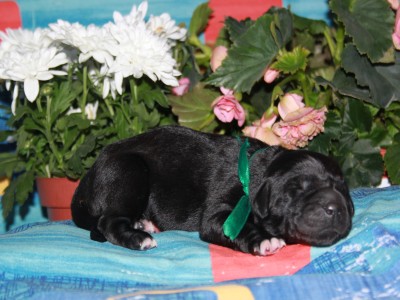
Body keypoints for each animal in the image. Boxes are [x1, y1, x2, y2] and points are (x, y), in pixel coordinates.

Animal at [72, 125, 354, 254]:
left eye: (342, 188)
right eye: (297, 189)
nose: (335, 207)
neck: (260, 170)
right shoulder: (219, 215)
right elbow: (238, 227)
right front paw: (264, 240)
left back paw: (143, 224)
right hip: (130, 170)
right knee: (107, 222)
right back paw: (138, 238)